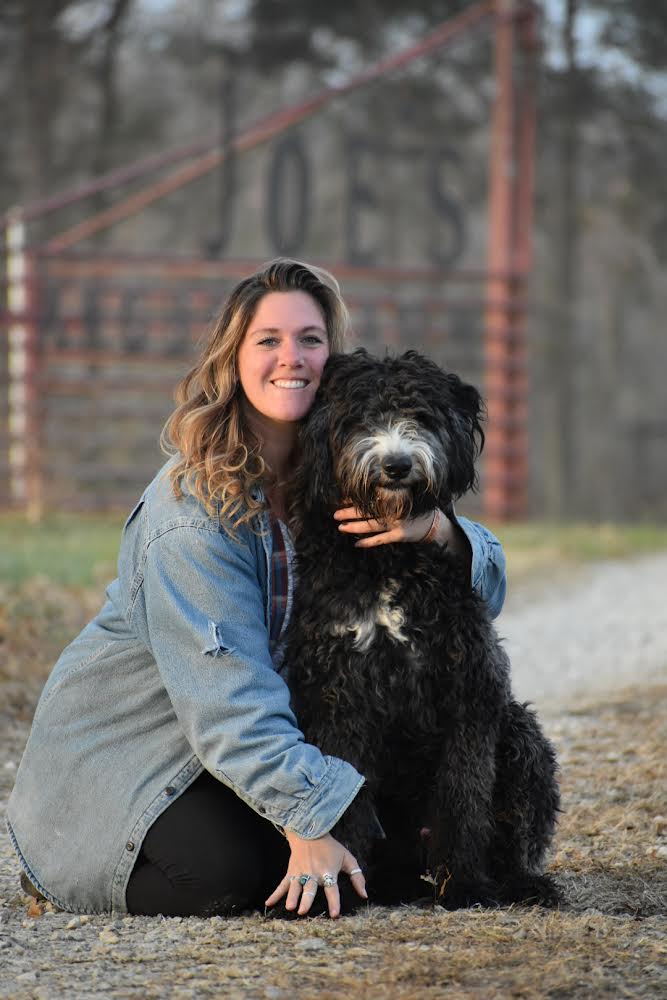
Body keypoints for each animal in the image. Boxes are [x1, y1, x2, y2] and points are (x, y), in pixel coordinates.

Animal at [284, 352, 560, 916]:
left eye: (422, 416)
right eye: (361, 417)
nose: (396, 464)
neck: (390, 558)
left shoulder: (469, 689)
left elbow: (464, 798)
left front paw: (468, 886)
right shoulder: (338, 695)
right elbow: (344, 800)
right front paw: (336, 886)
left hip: (520, 736)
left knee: (514, 833)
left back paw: (522, 884)